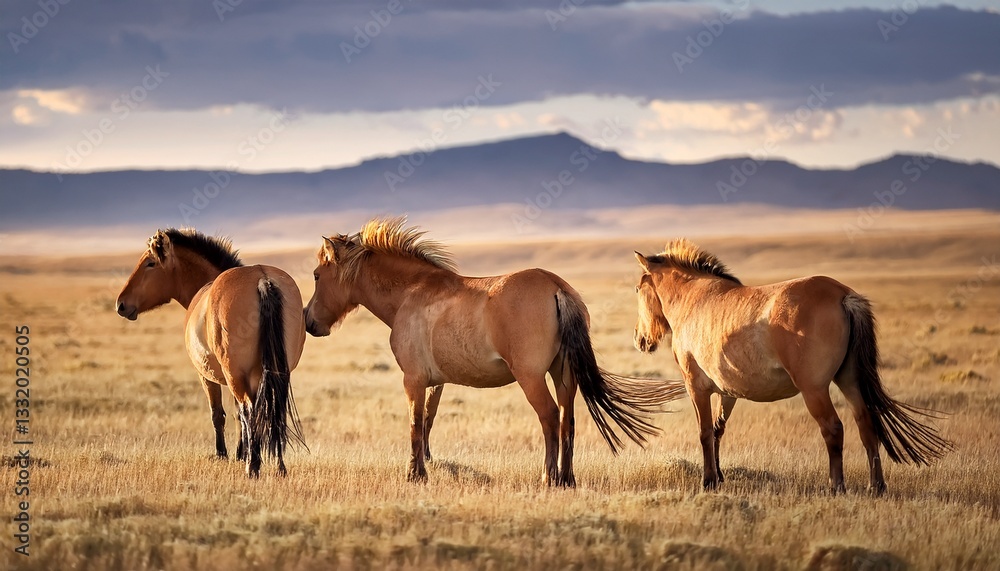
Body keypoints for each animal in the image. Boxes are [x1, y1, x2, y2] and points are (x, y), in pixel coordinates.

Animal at [116, 228, 307, 478]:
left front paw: (224, 454)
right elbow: (239, 415)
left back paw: (253, 467)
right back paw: (278, 465)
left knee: (250, 410)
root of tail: (262, 279)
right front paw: (241, 453)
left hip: (236, 376)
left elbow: (219, 414)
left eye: (150, 263)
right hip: (274, 373)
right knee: (271, 410)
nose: (121, 304)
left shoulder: (208, 377)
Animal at [304, 216, 685, 486]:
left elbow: (414, 423)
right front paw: (426, 466)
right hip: (563, 374)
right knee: (567, 419)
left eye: (317, 276)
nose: (309, 321)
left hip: (531, 377)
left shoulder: (413, 380)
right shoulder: (436, 382)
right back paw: (568, 478)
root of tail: (557, 288)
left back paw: (548, 478)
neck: (411, 293)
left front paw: (414, 474)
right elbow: (427, 421)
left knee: (549, 417)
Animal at [633, 239, 952, 495]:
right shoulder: (727, 391)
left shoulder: (695, 387)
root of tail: (843, 295)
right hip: (850, 381)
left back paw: (836, 486)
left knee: (833, 428)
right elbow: (717, 430)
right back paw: (876, 486)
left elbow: (703, 432)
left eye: (637, 289)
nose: (640, 339)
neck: (695, 299)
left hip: (814, 389)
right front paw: (720, 477)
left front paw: (708, 481)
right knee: (866, 425)